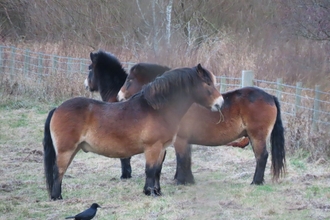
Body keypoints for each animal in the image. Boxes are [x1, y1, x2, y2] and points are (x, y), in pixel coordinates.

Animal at [43, 63, 224, 199]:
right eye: (208, 84)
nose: (220, 103)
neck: (157, 109)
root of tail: (58, 108)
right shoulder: (152, 147)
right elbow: (150, 170)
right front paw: (150, 192)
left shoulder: (161, 149)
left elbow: (157, 171)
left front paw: (157, 192)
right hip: (66, 150)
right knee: (58, 171)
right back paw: (57, 197)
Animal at [118, 69, 286, 185]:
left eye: (129, 80)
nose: (119, 97)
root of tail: (270, 96)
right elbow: (186, 159)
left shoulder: (180, 139)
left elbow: (182, 159)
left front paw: (181, 181)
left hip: (257, 136)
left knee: (262, 156)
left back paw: (255, 182)